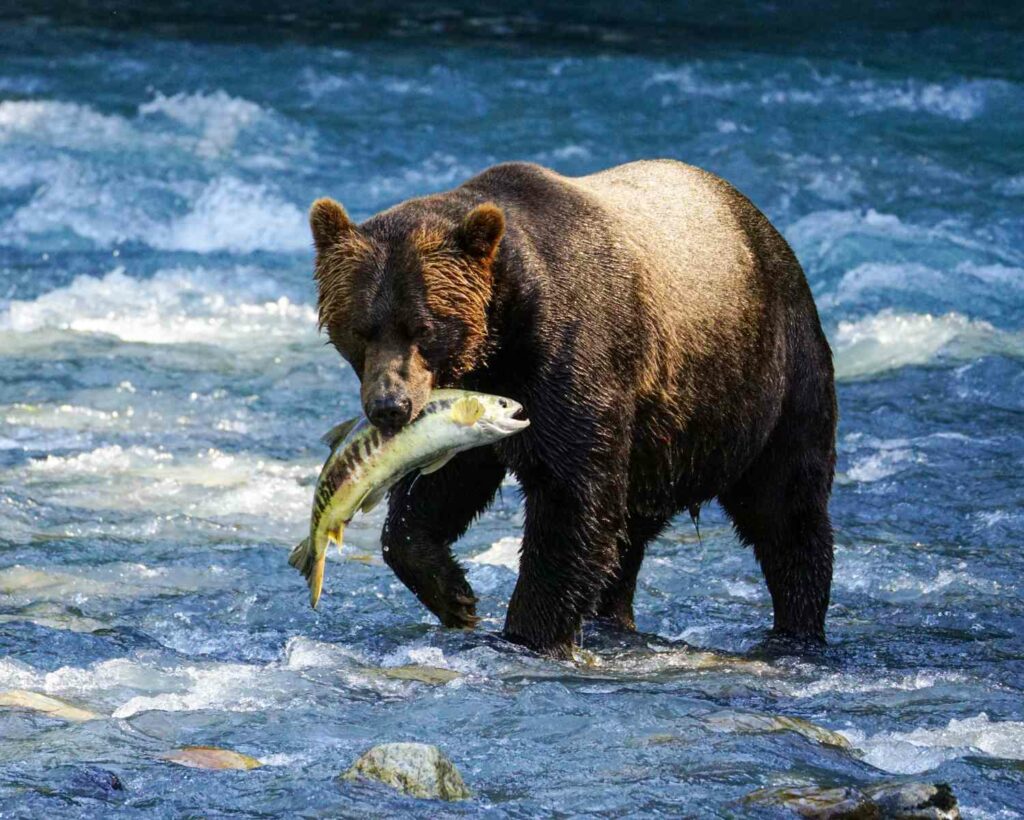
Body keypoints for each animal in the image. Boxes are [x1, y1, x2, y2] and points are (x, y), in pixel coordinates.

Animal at [309, 160, 837, 658]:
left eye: (424, 326)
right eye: (360, 328)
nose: (390, 406)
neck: (501, 338)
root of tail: (767, 228)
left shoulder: (572, 359)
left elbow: (572, 501)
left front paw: (527, 633)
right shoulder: (478, 402)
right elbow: (441, 488)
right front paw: (455, 595)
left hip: (768, 378)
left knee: (786, 510)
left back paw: (797, 627)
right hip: (661, 441)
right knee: (629, 535)